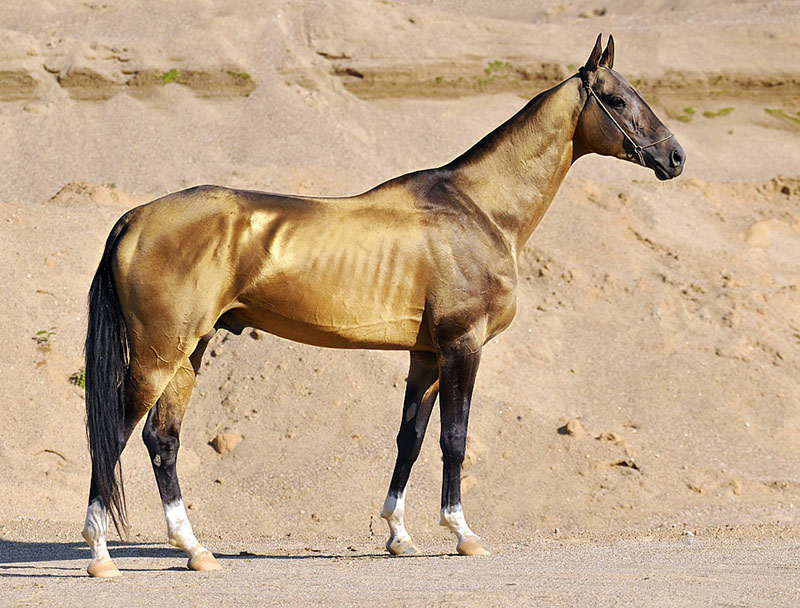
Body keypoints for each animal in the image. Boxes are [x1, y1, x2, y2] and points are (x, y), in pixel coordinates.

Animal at [81, 35, 684, 576]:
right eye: (620, 100)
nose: (675, 157)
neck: (479, 209)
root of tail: (134, 218)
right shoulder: (462, 345)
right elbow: (454, 439)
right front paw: (462, 533)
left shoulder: (427, 356)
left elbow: (409, 439)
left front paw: (398, 535)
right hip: (159, 355)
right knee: (115, 434)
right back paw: (101, 555)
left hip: (189, 352)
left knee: (162, 439)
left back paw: (195, 550)